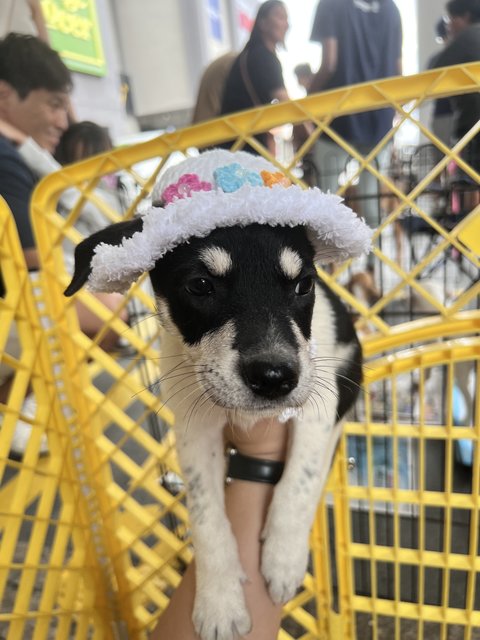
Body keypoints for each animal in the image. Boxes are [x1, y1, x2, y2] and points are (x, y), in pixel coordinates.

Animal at [64, 150, 372, 640]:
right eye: (200, 286)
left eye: (304, 284)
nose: (274, 377)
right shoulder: (195, 428)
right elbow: (206, 513)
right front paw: (219, 601)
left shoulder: (323, 400)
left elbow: (301, 478)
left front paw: (283, 558)